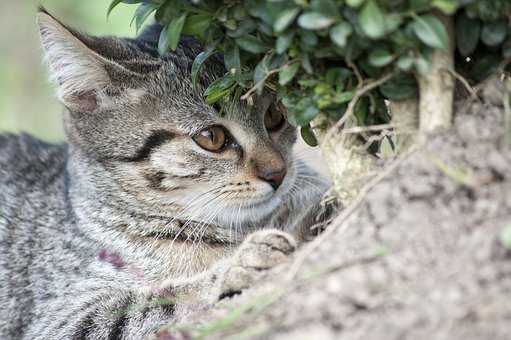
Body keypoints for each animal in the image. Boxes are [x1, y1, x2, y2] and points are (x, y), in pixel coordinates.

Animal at [0, 8, 330, 340]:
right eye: (212, 137)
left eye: (275, 115)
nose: (278, 173)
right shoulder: (59, 320)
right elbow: (151, 303)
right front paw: (238, 265)